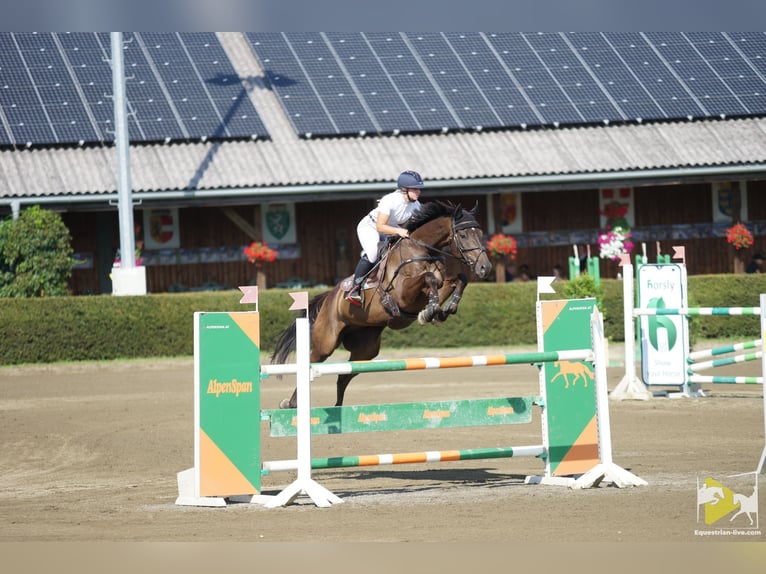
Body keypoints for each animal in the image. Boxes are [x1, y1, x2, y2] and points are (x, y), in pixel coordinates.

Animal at [272, 201, 496, 410]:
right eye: (464, 235)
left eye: (480, 233)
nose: (485, 268)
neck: (421, 250)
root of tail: (329, 297)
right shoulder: (403, 295)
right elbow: (430, 278)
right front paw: (431, 311)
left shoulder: (438, 286)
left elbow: (458, 280)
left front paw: (443, 310)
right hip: (325, 343)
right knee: (313, 362)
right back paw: (291, 403)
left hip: (366, 350)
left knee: (344, 376)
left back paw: (338, 408)